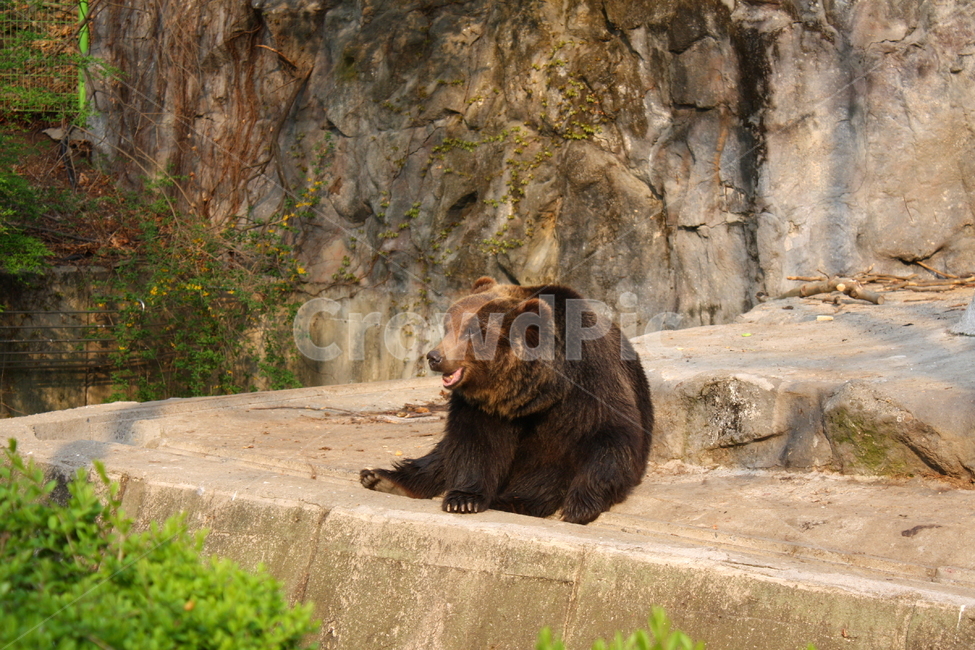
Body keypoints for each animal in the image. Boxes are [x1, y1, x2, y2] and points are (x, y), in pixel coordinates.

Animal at [360, 277, 653, 525]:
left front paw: (579, 506)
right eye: (448, 326)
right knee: (439, 455)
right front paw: (464, 500)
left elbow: (609, 437)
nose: (434, 357)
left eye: (473, 331)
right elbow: (476, 442)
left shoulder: (591, 385)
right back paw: (381, 477)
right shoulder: (482, 406)